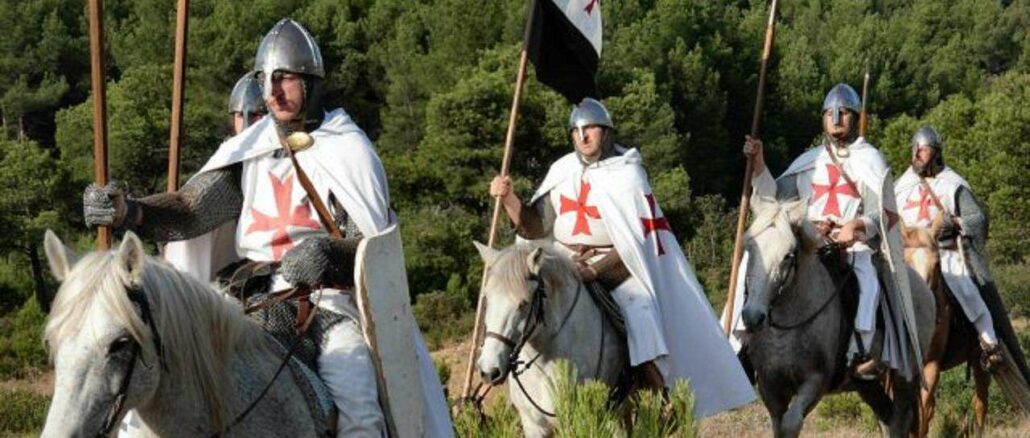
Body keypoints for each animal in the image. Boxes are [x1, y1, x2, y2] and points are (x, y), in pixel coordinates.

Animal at [739, 197, 936, 438]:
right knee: (887, 417)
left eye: (788, 255)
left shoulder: (815, 383)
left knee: (900, 420)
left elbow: (790, 425)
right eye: (750, 248)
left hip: (906, 376)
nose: (753, 316)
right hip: (867, 384)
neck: (786, 330)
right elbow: (779, 426)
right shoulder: (770, 389)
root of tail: (923, 289)